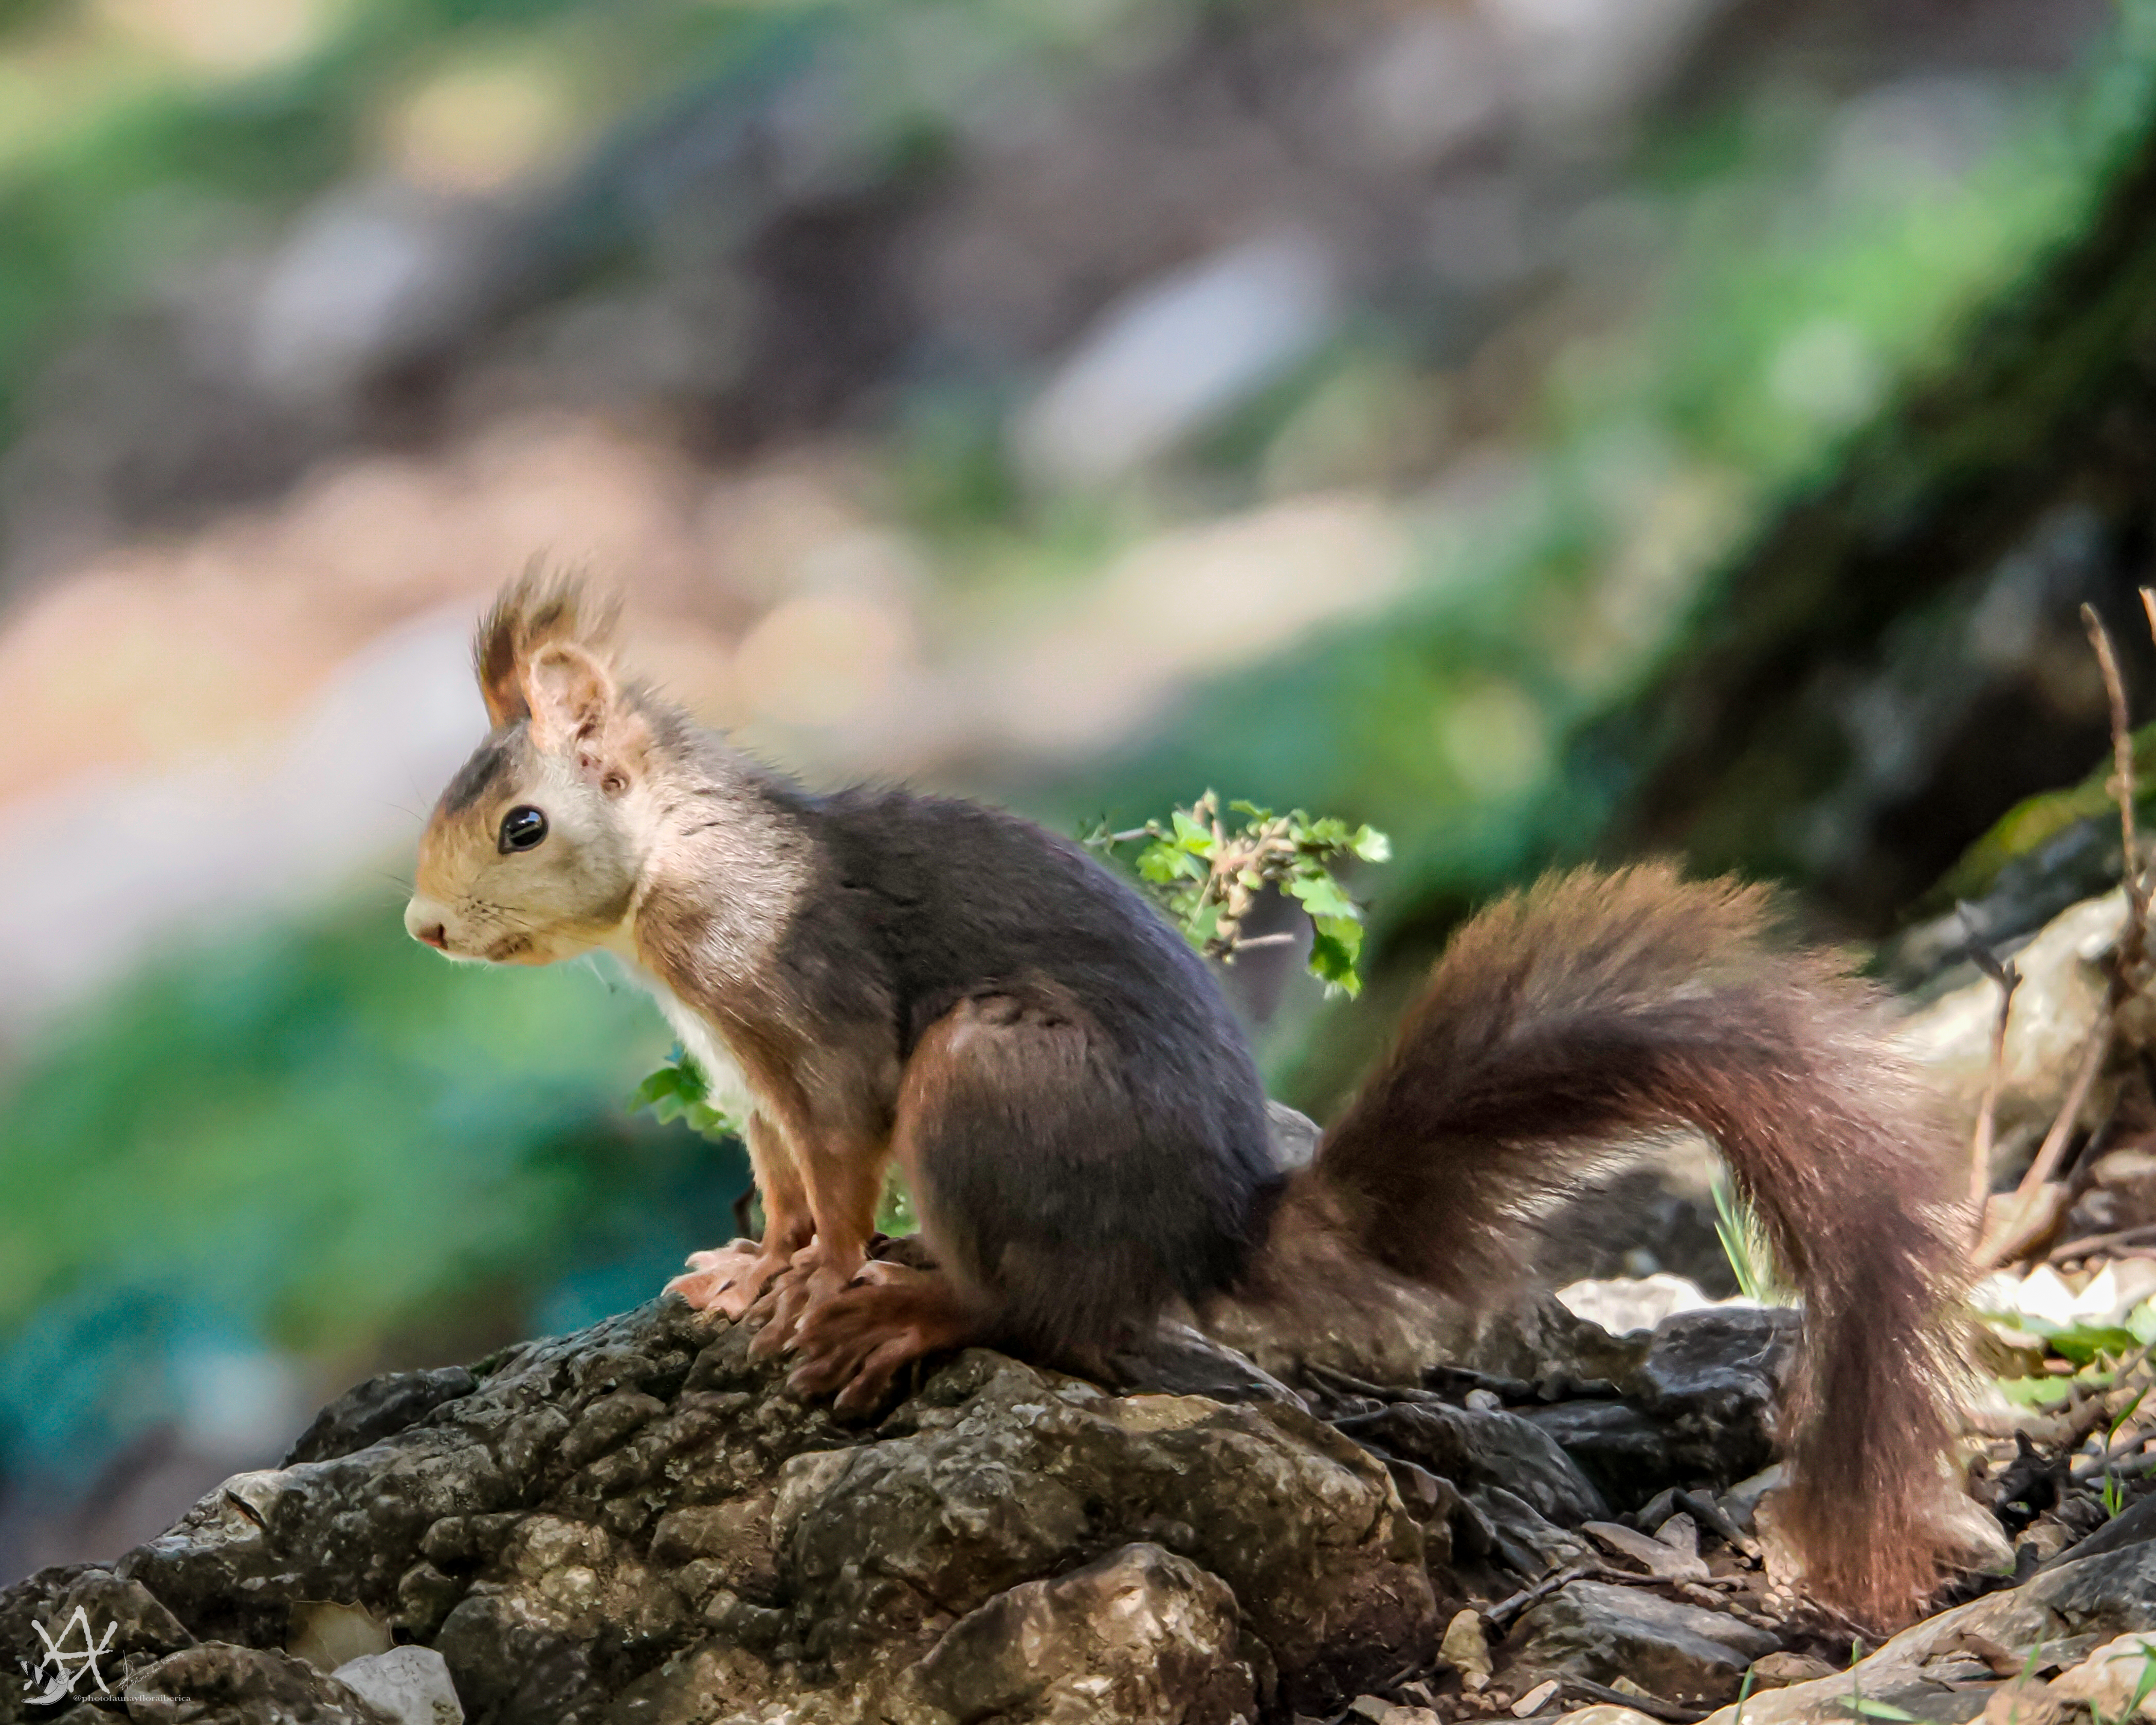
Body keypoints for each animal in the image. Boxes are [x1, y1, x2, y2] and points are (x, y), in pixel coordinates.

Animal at [405, 570, 1969, 1627]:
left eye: (523, 824)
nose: (421, 928)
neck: (674, 885)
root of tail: (1203, 1231)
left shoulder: (814, 1015)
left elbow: (840, 1169)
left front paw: (818, 1282)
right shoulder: (743, 1084)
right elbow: (787, 1187)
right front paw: (752, 1270)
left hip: (989, 1073)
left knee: (1044, 1313)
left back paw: (916, 1306)